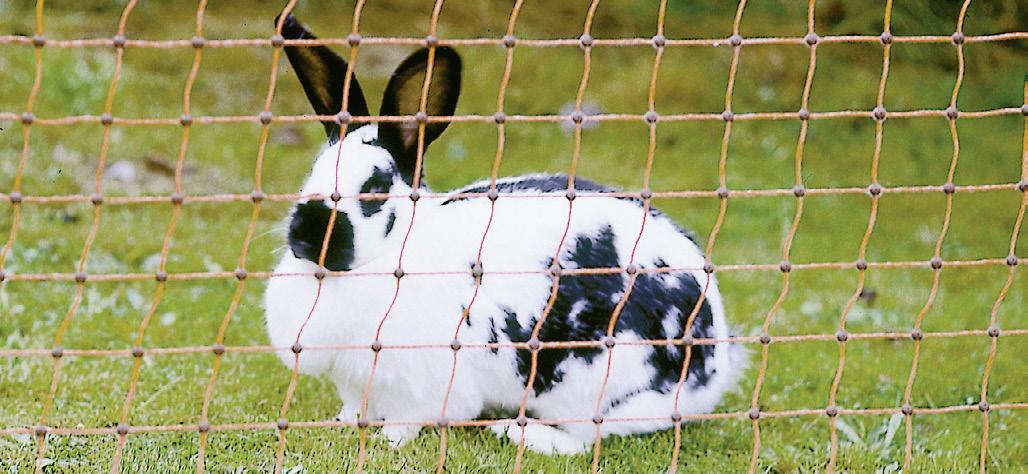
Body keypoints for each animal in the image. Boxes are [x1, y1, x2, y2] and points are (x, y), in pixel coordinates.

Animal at [264, 13, 743, 455]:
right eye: (313, 173)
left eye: (374, 189)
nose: (305, 235)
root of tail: (716, 363)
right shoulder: (355, 383)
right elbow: (354, 408)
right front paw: (342, 425)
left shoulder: (420, 386)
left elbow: (407, 420)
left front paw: (389, 440)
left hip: (598, 384)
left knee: (585, 439)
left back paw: (517, 431)